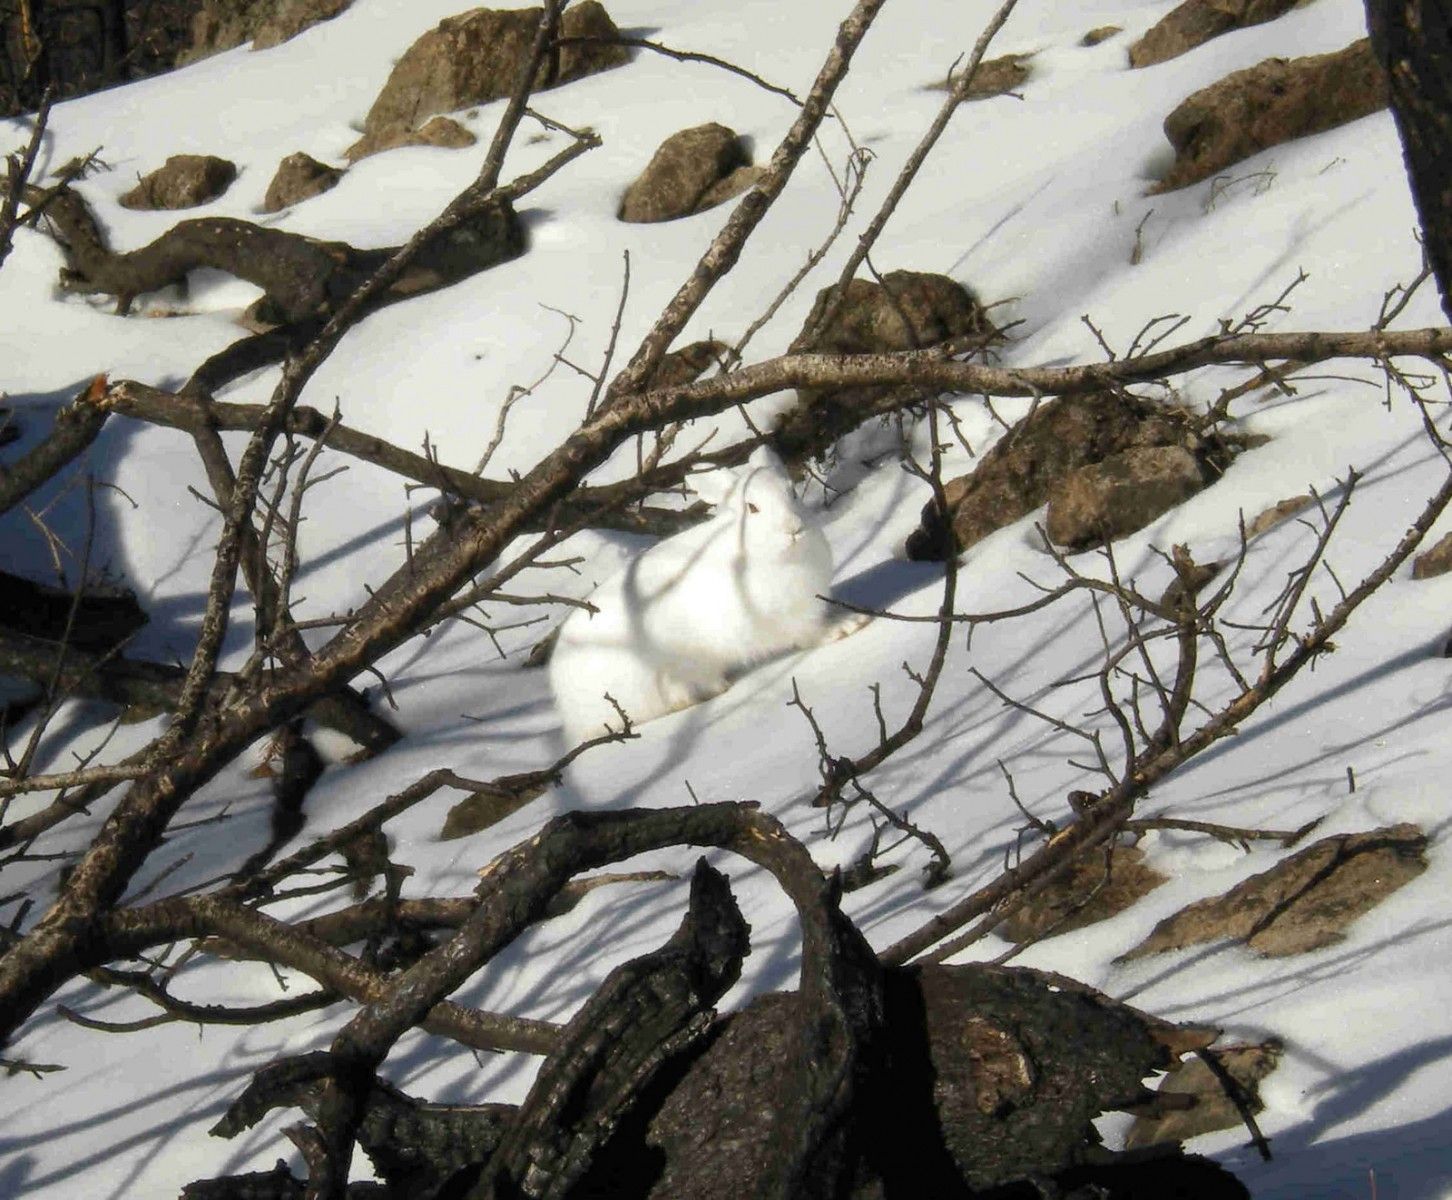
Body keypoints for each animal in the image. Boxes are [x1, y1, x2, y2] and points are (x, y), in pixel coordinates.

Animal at [549, 447, 861, 742]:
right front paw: (847, 626)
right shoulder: (787, 620)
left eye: (793, 493)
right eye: (752, 508)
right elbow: (809, 633)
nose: (794, 528)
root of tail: (567, 703)